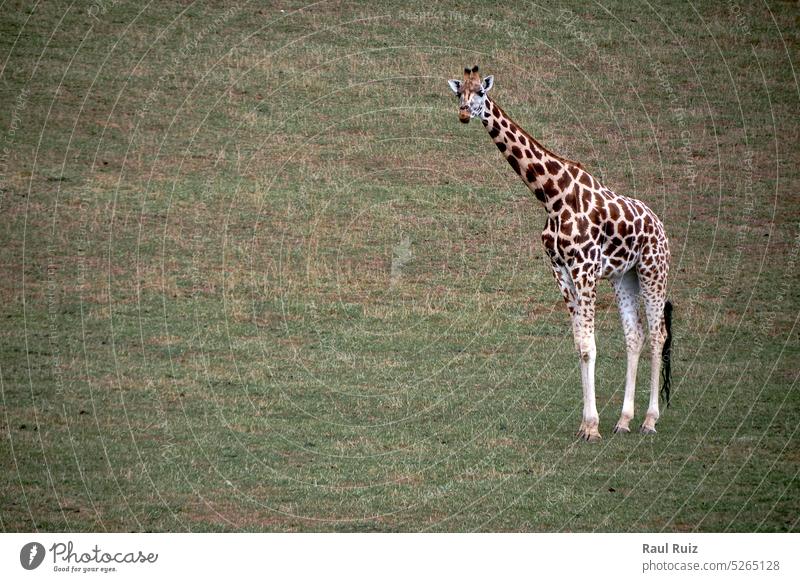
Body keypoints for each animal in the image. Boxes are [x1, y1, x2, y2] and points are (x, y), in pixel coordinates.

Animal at [446, 67, 672, 442]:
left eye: (480, 92)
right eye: (458, 92)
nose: (464, 113)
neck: (552, 195)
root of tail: (660, 225)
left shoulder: (584, 268)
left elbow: (589, 345)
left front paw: (592, 427)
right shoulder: (561, 270)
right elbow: (580, 345)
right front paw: (587, 424)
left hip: (654, 270)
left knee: (657, 334)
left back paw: (650, 421)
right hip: (624, 276)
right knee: (635, 335)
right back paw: (624, 420)